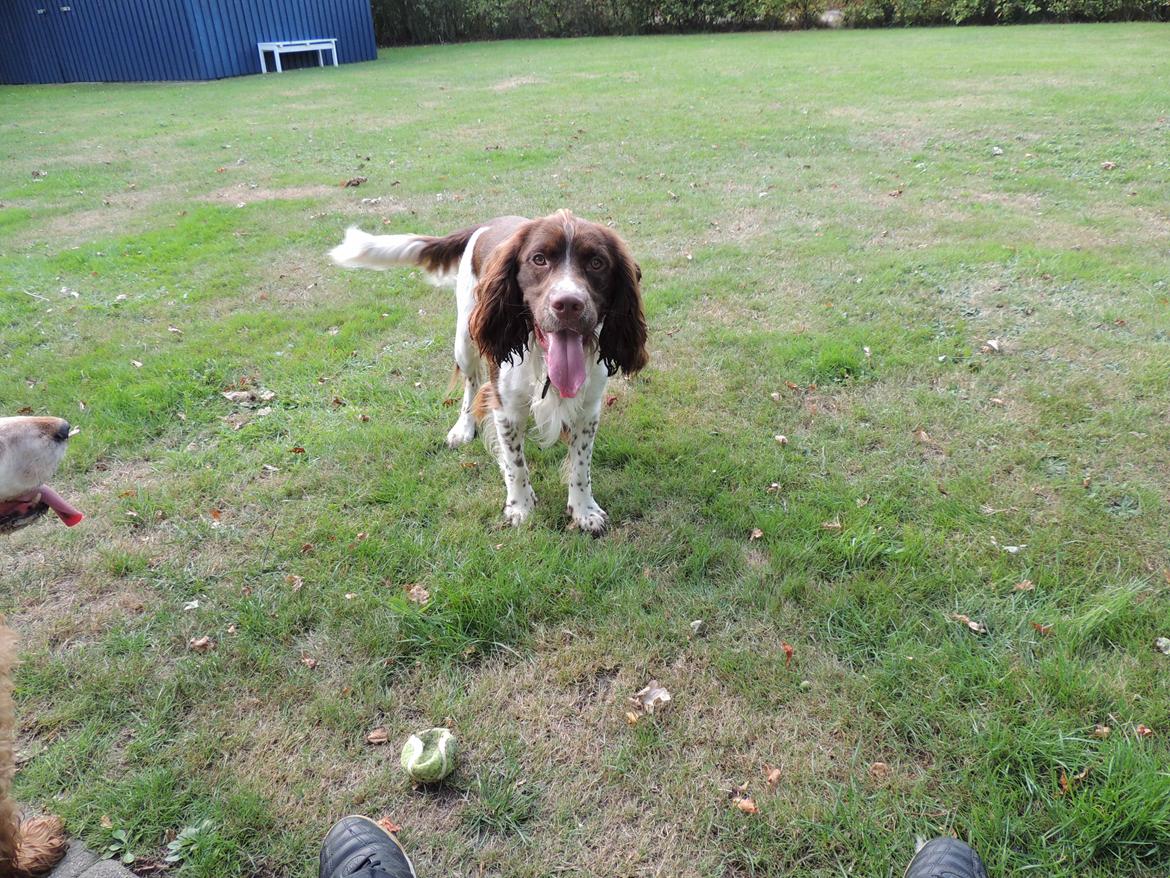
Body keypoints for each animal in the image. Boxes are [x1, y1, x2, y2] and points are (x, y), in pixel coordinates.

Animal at [329, 211, 650, 536]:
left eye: (597, 263)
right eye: (539, 259)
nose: (569, 304)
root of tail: (490, 222)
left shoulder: (589, 409)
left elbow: (581, 464)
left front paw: (584, 510)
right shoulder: (506, 407)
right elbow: (514, 461)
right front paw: (521, 506)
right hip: (465, 337)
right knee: (471, 384)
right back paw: (463, 427)